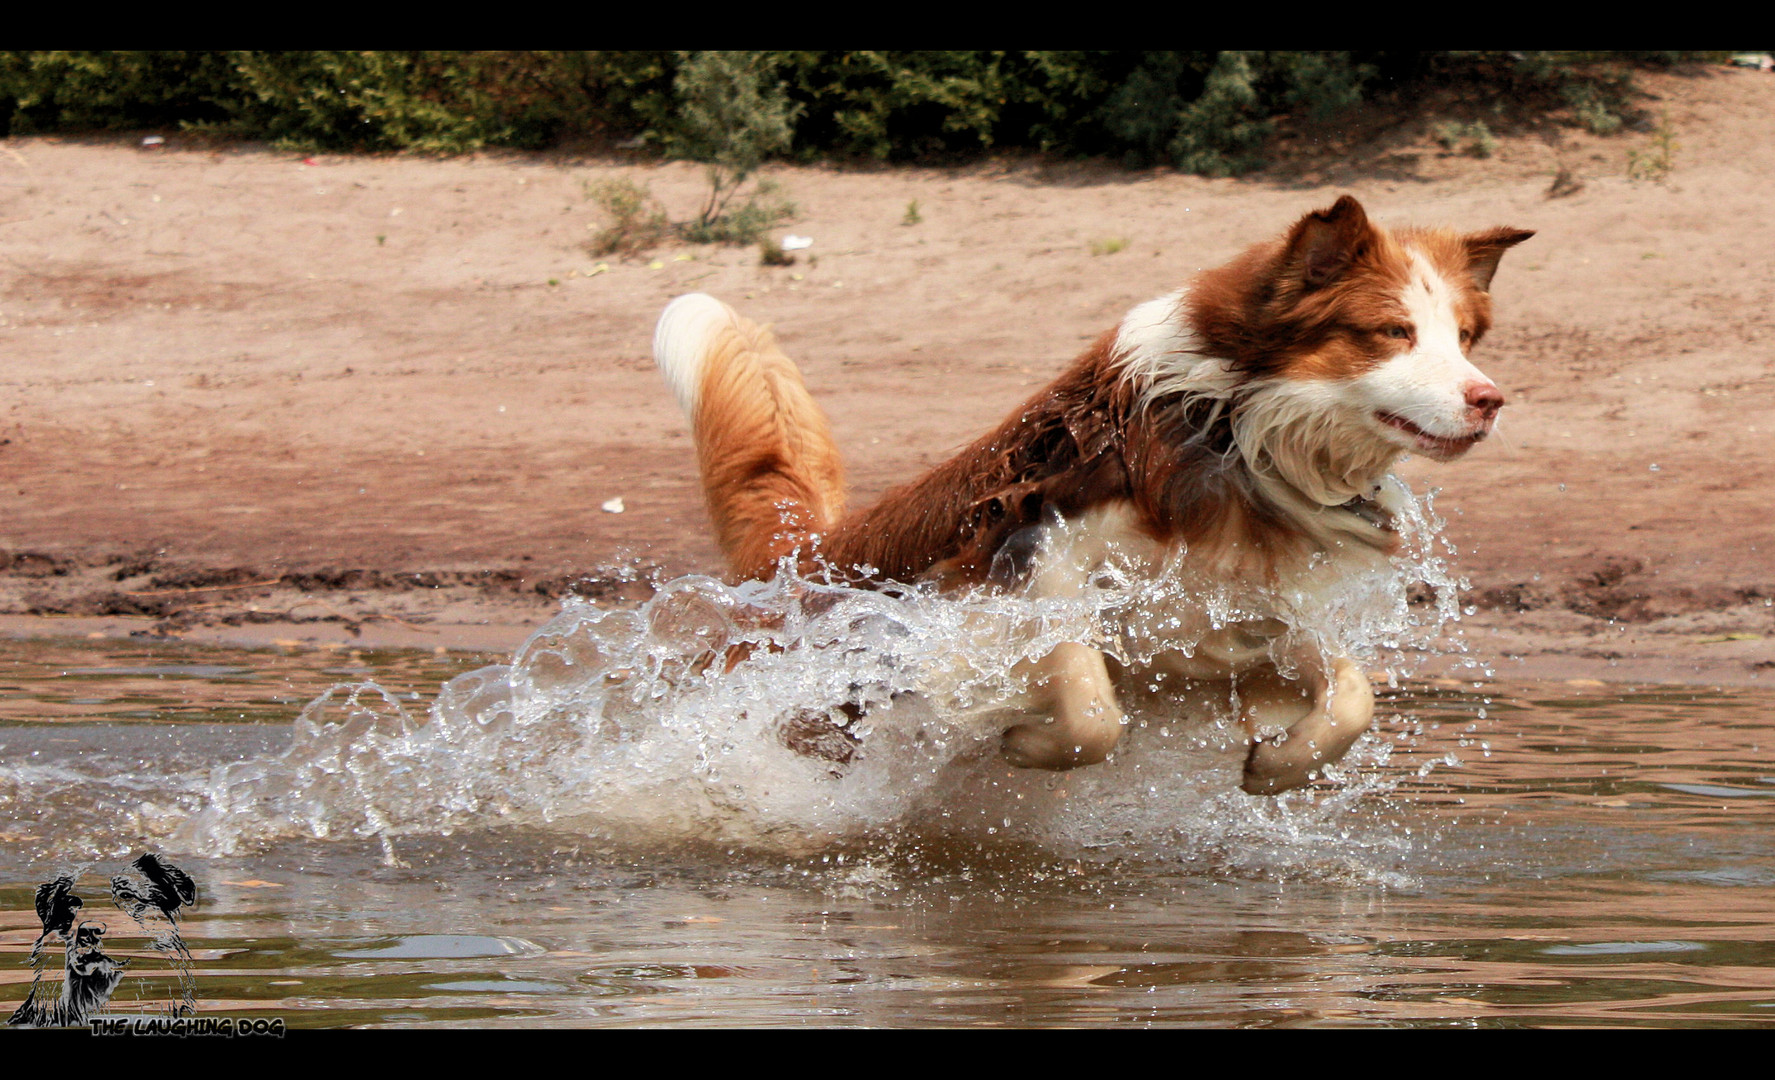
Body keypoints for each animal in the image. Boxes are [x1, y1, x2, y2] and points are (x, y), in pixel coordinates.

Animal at [653, 196, 1526, 792]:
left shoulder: (1242, 605)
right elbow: (1089, 703)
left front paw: (1277, 765)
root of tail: (803, 557)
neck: (1235, 431)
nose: (1489, 399)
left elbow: (1352, 696)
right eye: (1392, 333)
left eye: (1463, 337)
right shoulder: (1040, 558)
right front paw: (1024, 739)